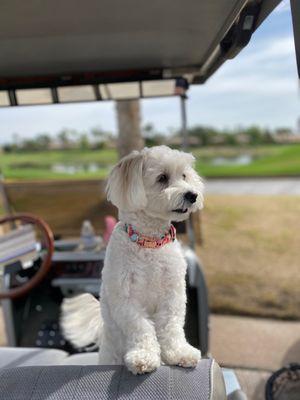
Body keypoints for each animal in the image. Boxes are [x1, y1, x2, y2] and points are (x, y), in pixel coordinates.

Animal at [62, 146, 205, 376]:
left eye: (184, 176)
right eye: (162, 178)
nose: (192, 195)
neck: (149, 241)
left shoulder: (173, 293)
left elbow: (171, 325)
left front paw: (179, 352)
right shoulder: (125, 297)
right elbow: (141, 327)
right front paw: (143, 357)